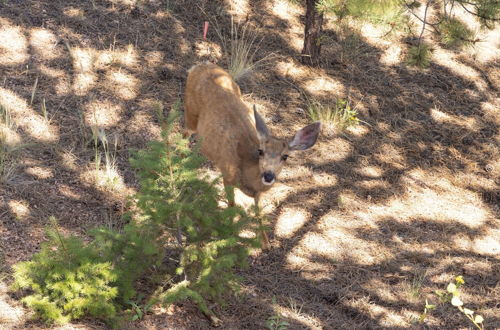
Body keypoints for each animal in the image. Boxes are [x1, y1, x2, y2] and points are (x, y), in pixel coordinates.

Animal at [185, 62, 320, 248]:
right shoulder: (228, 175)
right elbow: (231, 205)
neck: (247, 172)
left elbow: (259, 213)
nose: (268, 175)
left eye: (285, 156)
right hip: (190, 112)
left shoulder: (258, 194)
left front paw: (265, 243)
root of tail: (199, 65)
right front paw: (230, 233)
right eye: (261, 151)